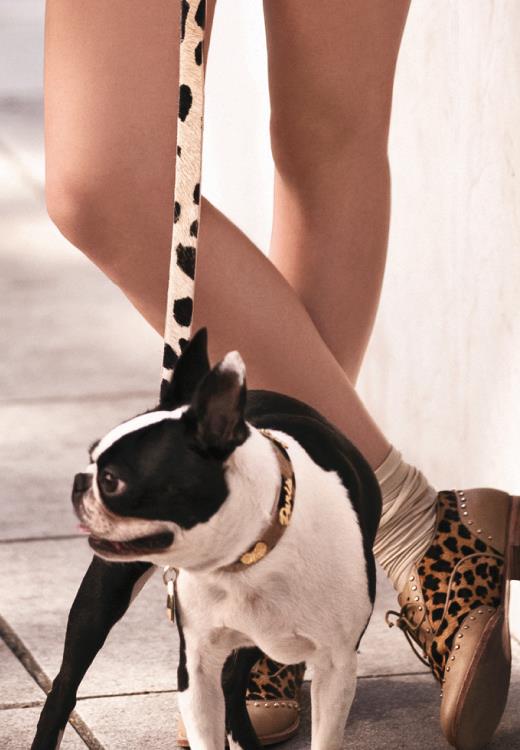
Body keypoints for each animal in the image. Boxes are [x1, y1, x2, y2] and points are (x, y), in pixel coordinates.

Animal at [32, 327, 381, 750]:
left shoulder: (337, 667)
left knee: (233, 684)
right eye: (92, 458)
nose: (80, 481)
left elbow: (324, 737)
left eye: (112, 479)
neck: (254, 557)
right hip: (102, 598)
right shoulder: (197, 668)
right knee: (64, 686)